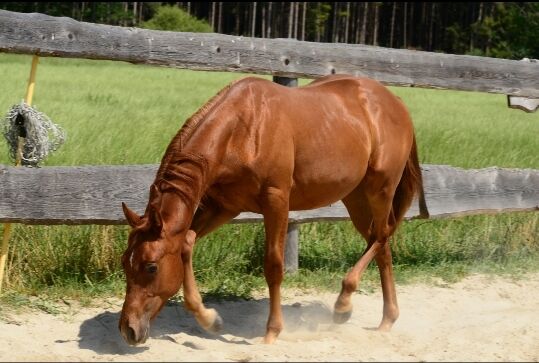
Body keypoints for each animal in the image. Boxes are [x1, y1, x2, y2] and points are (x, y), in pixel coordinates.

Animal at [119, 74, 430, 346]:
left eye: (151, 267)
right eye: (125, 263)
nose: (128, 330)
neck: (242, 129)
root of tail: (396, 103)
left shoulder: (277, 201)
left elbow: (274, 265)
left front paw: (272, 332)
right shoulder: (226, 206)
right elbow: (186, 241)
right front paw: (209, 319)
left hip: (381, 190)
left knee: (382, 236)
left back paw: (343, 304)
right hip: (355, 198)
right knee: (382, 245)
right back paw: (386, 318)